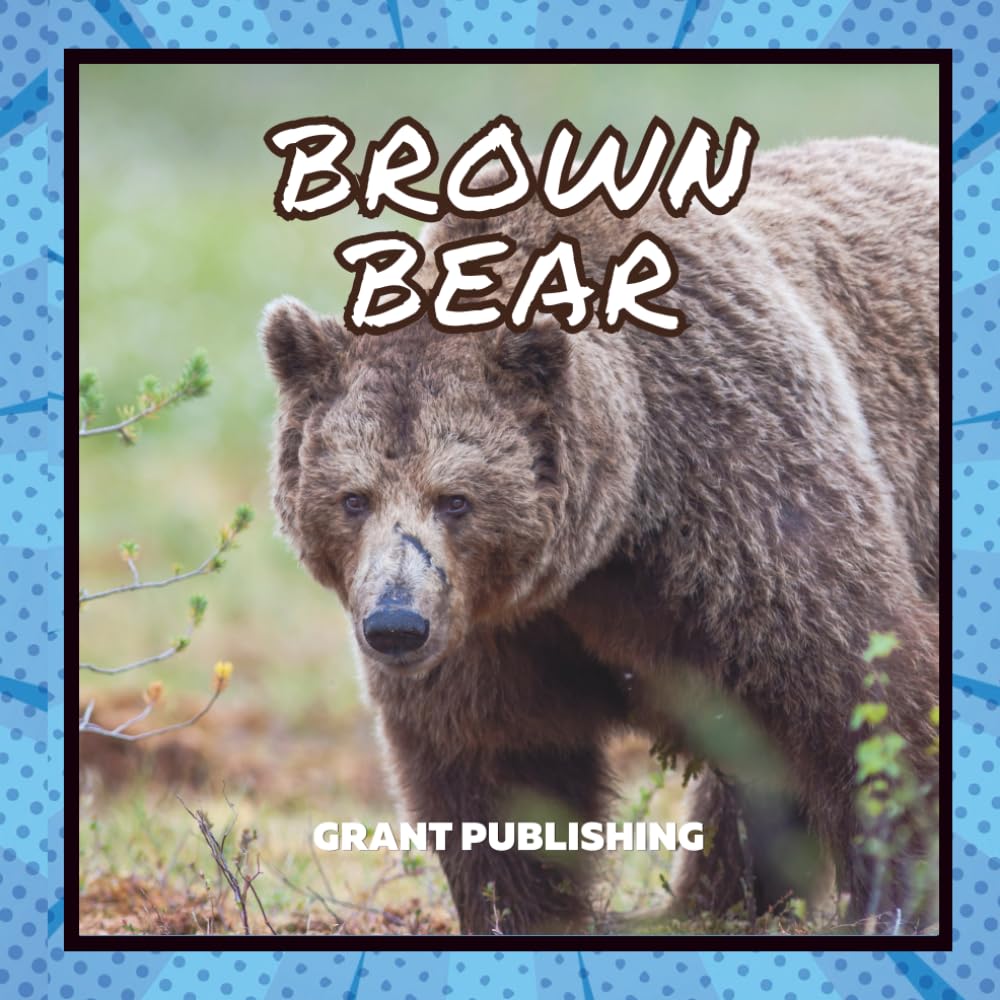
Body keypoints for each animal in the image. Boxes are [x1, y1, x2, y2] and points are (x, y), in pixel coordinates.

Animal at [261, 136, 940, 935]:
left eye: (456, 498)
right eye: (353, 498)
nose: (396, 624)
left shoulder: (743, 487)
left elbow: (855, 692)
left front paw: (893, 898)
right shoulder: (494, 627)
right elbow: (496, 760)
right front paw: (523, 911)